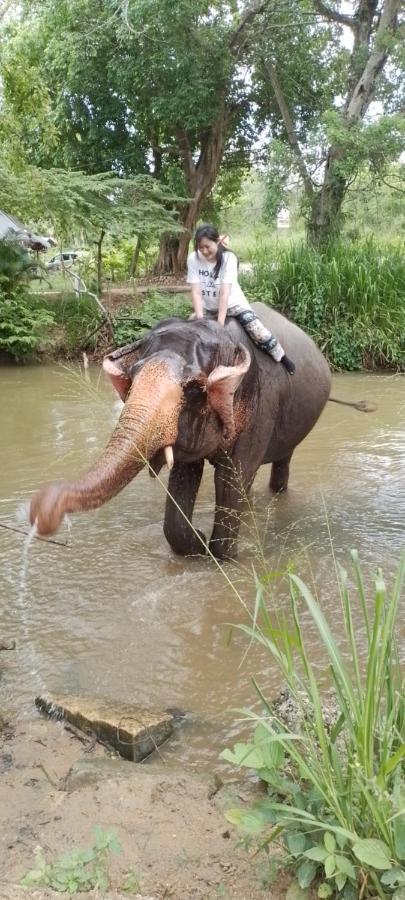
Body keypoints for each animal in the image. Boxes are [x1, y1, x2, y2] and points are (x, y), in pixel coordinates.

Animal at [29, 304, 332, 556]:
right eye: (132, 376)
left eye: (196, 389)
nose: (40, 511)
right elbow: (185, 476)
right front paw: (198, 544)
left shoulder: (262, 406)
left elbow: (231, 479)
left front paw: (222, 554)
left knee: (280, 462)